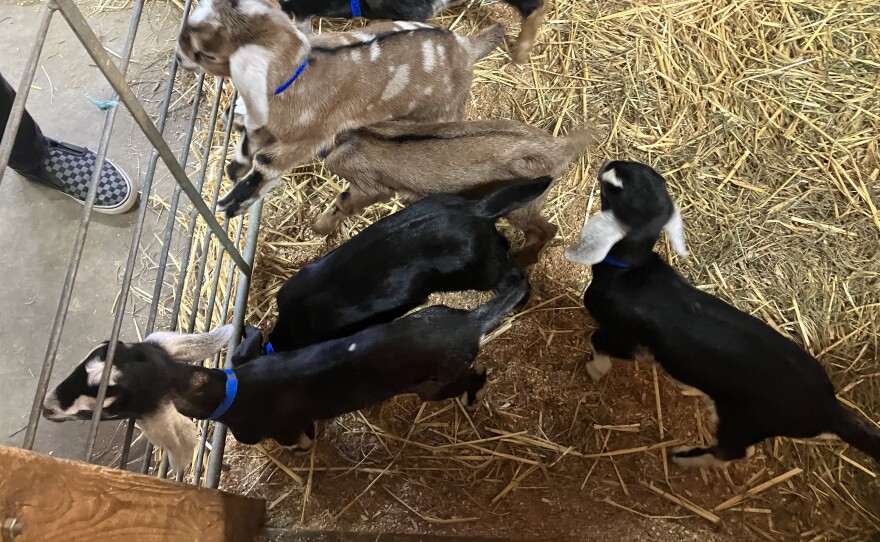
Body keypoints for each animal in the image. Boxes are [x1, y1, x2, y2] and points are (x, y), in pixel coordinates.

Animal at [43, 282, 524, 456]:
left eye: (105, 403)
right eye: (90, 356)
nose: (47, 406)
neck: (229, 389)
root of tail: (469, 322)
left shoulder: (276, 426)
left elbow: (298, 440)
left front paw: (303, 452)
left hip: (438, 381)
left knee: (473, 377)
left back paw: (474, 396)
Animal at [176, 0, 506, 218]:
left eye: (205, 53)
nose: (178, 57)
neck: (298, 72)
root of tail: (466, 48)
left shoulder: (312, 134)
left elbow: (267, 162)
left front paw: (231, 203)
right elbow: (248, 138)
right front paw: (234, 168)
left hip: (442, 112)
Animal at [312, 121, 600, 270]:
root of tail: (558, 149)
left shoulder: (368, 185)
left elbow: (344, 202)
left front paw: (319, 227)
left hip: (523, 203)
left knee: (546, 230)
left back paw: (520, 261)